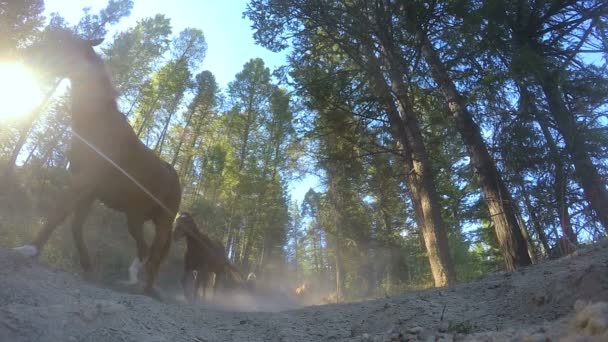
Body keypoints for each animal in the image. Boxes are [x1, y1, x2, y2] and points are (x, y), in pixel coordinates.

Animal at [13, 29, 180, 298]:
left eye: (61, 43)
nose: (28, 53)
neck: (97, 121)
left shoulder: (83, 182)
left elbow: (58, 213)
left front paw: (30, 249)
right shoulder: (89, 190)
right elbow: (75, 225)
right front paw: (88, 267)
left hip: (163, 222)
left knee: (155, 254)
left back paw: (146, 289)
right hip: (135, 216)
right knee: (144, 249)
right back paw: (131, 281)